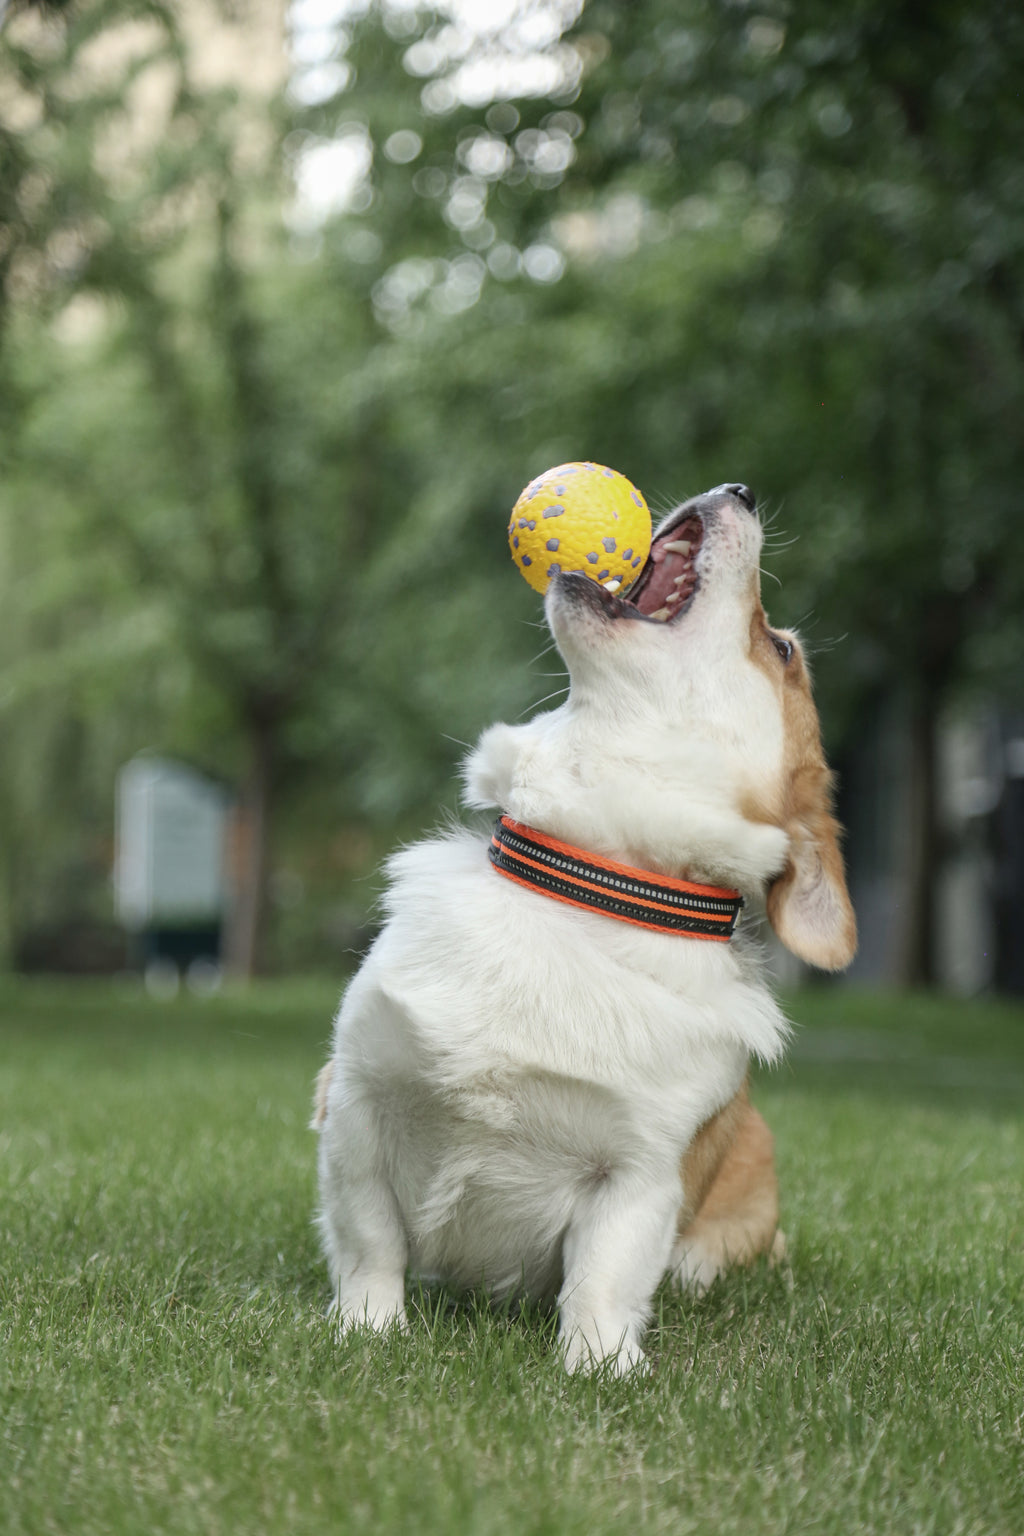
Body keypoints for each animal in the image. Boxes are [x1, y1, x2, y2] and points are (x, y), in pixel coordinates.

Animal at [313, 479, 859, 1370]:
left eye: (782, 649)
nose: (740, 488)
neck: (585, 881)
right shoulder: (356, 1102)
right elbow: (370, 1243)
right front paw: (369, 1331)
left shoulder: (637, 1175)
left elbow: (604, 1279)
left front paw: (599, 1368)